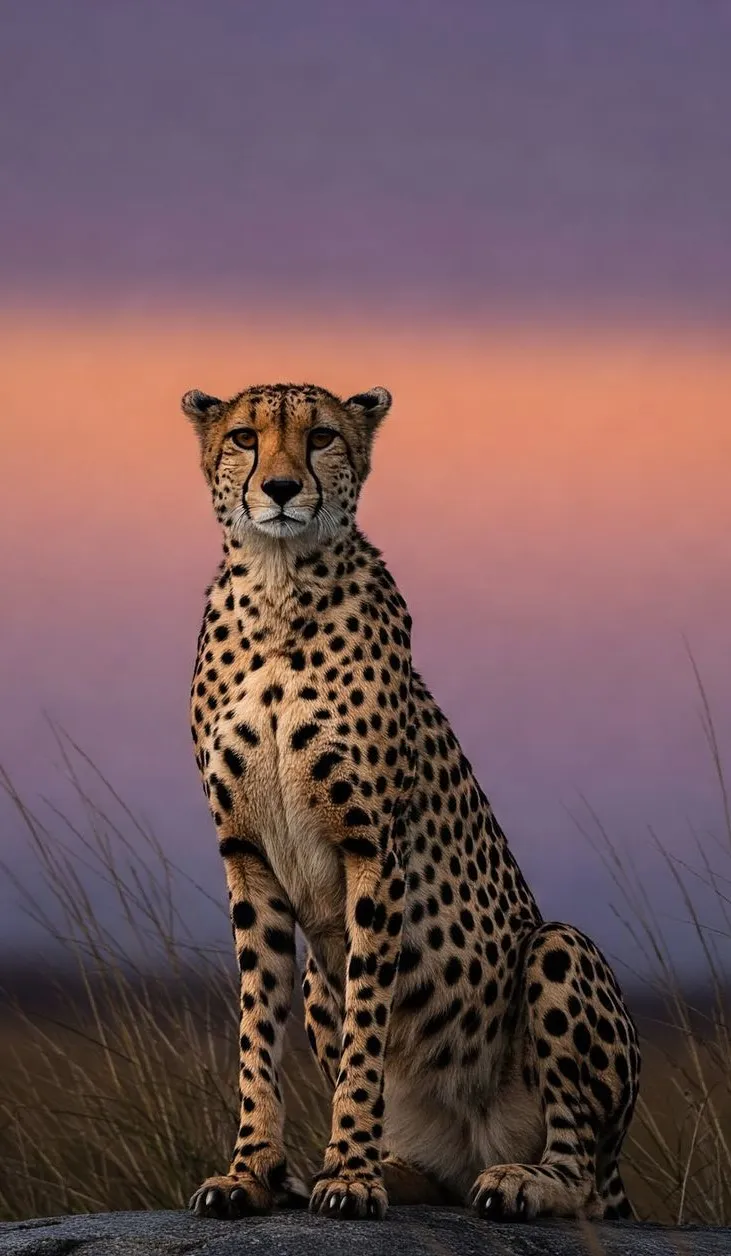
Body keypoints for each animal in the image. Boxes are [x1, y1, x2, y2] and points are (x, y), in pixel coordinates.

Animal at [182, 380, 640, 1223]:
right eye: (243, 438)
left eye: (322, 436)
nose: (282, 488)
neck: (278, 588)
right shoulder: (246, 857)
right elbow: (256, 1029)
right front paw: (252, 1172)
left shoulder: (372, 851)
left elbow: (369, 1023)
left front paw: (349, 1176)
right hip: (318, 983)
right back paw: (381, 1169)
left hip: (557, 950)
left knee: (582, 1174)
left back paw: (520, 1182)